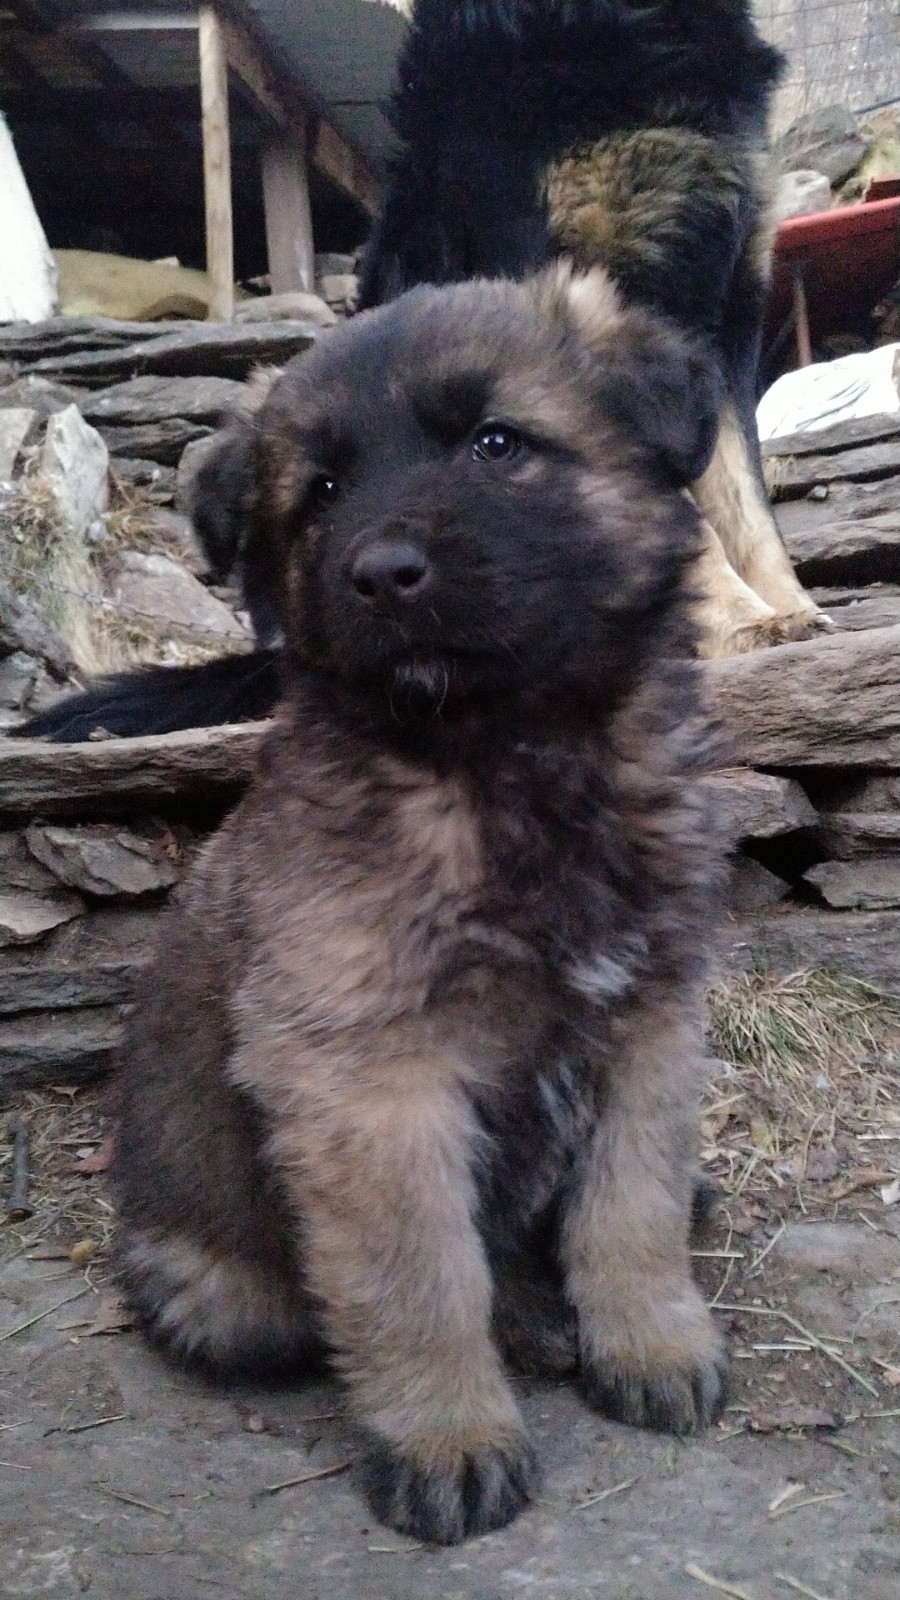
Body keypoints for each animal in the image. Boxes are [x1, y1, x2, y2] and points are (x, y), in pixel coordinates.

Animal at [114, 268, 729, 1544]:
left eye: (498, 442)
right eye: (321, 492)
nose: (384, 573)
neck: (511, 758)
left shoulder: (652, 1015)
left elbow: (632, 1201)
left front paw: (651, 1340)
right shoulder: (368, 1073)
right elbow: (422, 1276)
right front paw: (450, 1436)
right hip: (226, 1292)